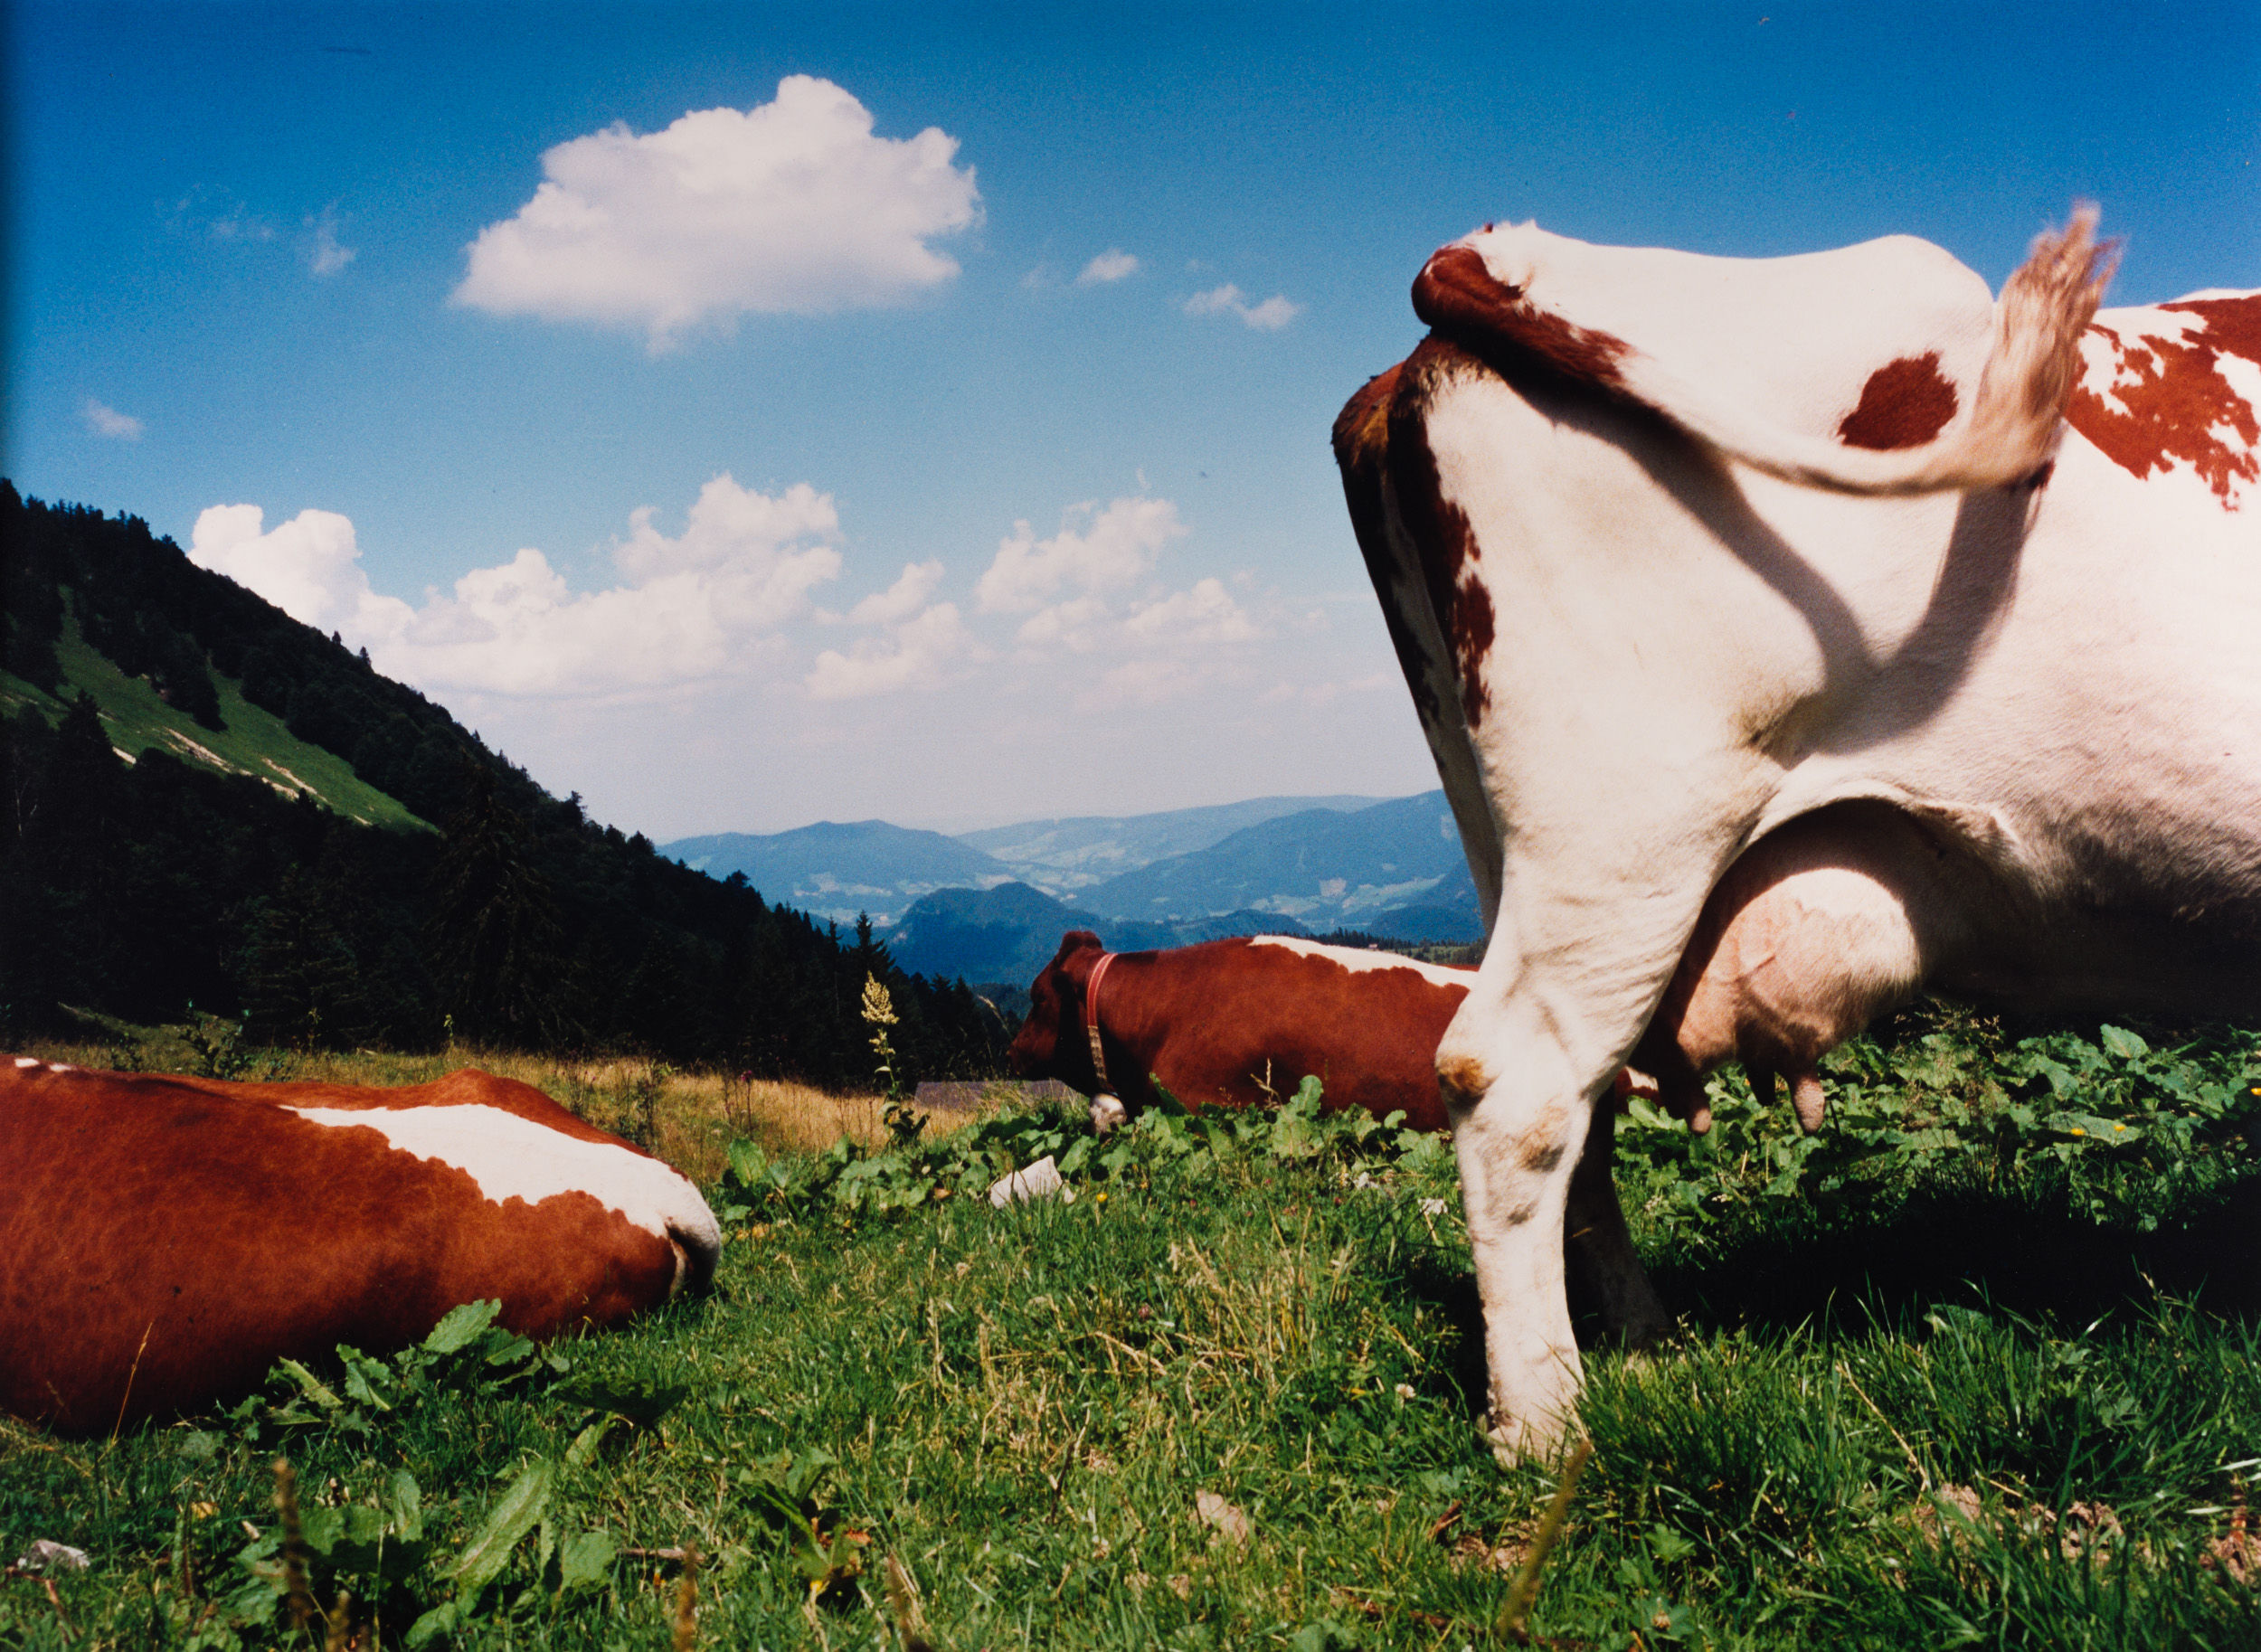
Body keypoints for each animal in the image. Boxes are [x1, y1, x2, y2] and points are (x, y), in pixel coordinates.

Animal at [1333, 206, 2261, 1459]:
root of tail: (1498, 254)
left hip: (1515, 842)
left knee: (1583, 1105)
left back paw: (1641, 1343)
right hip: (1626, 827)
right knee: (1512, 1085)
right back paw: (1545, 1428)